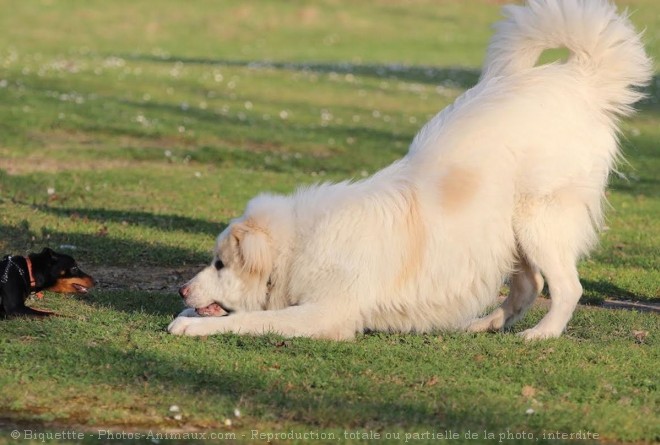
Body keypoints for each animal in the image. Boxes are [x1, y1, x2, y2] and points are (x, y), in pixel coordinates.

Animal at [169, 0, 648, 340]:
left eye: (219, 264)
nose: (181, 290)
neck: (297, 245)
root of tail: (579, 78)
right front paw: (188, 312)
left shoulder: (326, 313)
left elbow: (250, 321)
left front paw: (193, 323)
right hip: (508, 234)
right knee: (528, 286)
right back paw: (486, 324)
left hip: (537, 222)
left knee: (567, 287)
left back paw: (541, 335)